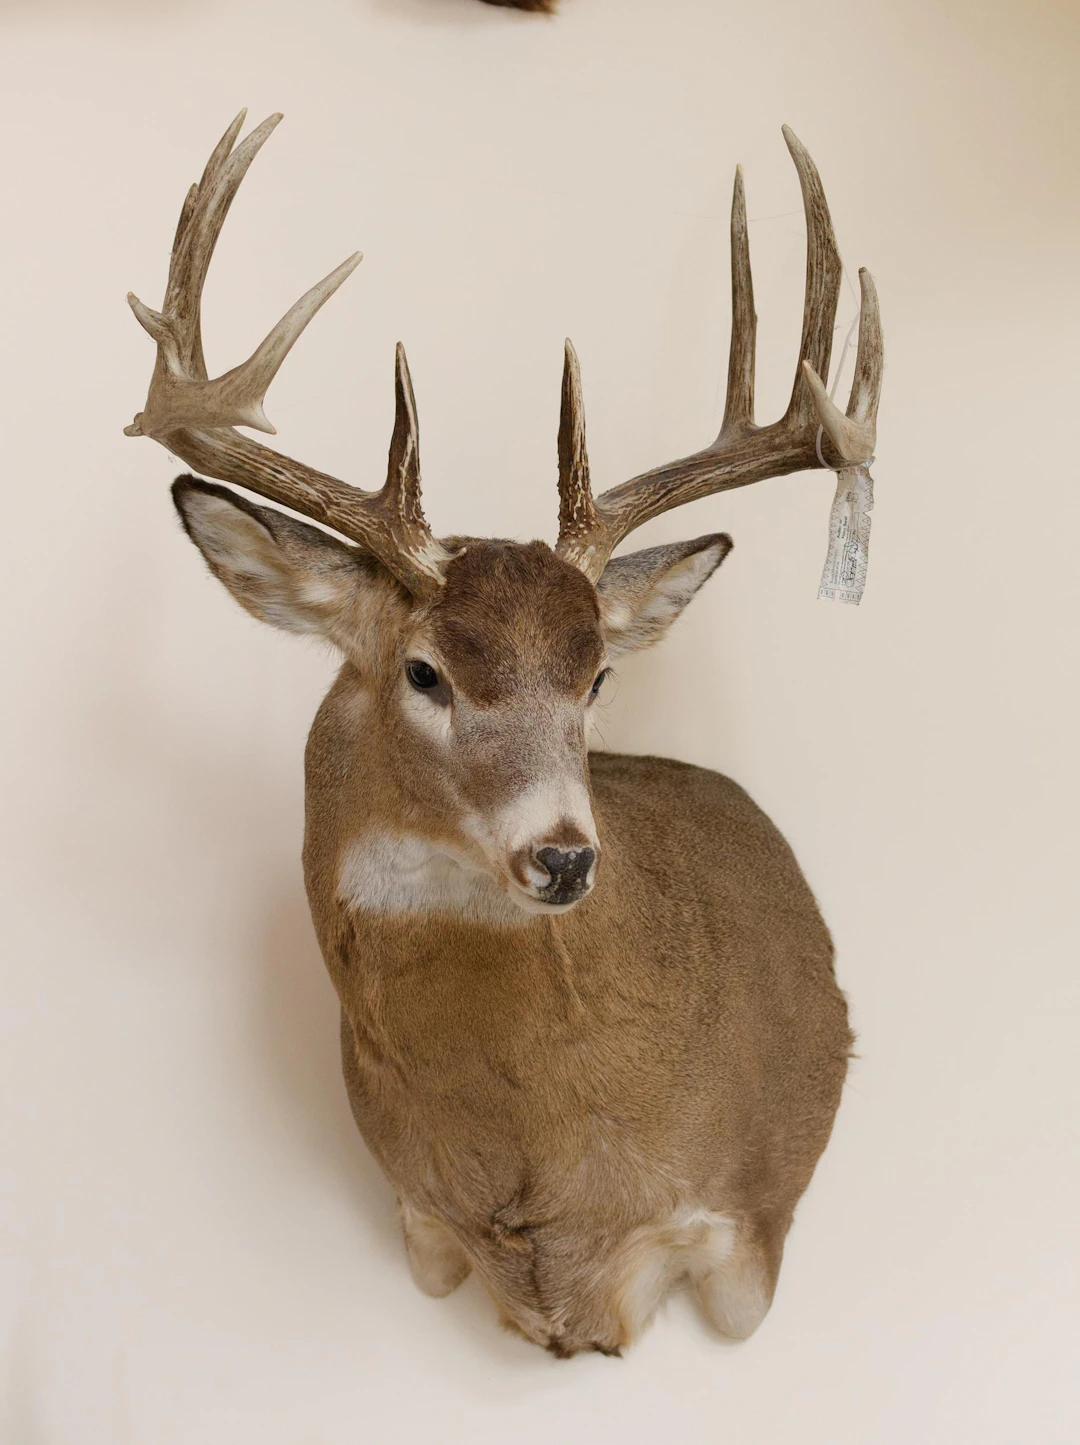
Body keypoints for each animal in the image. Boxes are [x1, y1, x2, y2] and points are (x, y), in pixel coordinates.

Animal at [125, 111, 882, 1357]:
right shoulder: (422, 1222)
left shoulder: (748, 1226)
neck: (541, 1184)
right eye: (425, 670)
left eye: (597, 672)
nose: (566, 853)